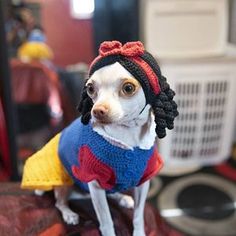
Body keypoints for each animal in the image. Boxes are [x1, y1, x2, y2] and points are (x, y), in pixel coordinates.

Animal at [22, 41, 178, 236]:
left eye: (128, 88)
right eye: (90, 88)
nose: (97, 111)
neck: (127, 134)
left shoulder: (143, 182)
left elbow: (138, 216)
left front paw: (139, 232)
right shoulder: (95, 184)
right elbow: (106, 221)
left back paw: (122, 198)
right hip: (65, 179)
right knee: (59, 202)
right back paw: (69, 214)